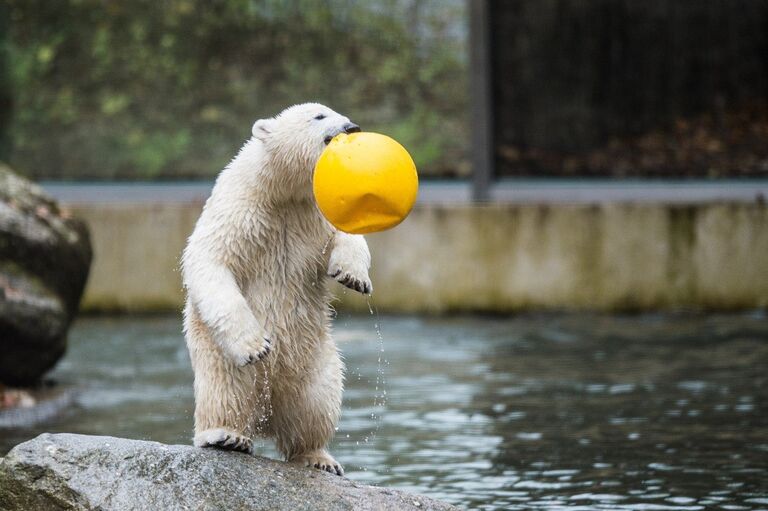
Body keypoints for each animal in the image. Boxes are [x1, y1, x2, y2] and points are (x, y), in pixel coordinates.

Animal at [181, 103, 372, 476]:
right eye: (319, 116)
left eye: (337, 112)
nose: (351, 127)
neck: (283, 191)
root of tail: (266, 417)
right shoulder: (241, 208)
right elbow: (211, 260)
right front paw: (256, 345)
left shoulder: (314, 212)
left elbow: (348, 232)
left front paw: (353, 276)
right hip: (215, 352)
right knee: (225, 390)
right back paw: (226, 436)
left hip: (317, 358)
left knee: (316, 403)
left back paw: (317, 457)